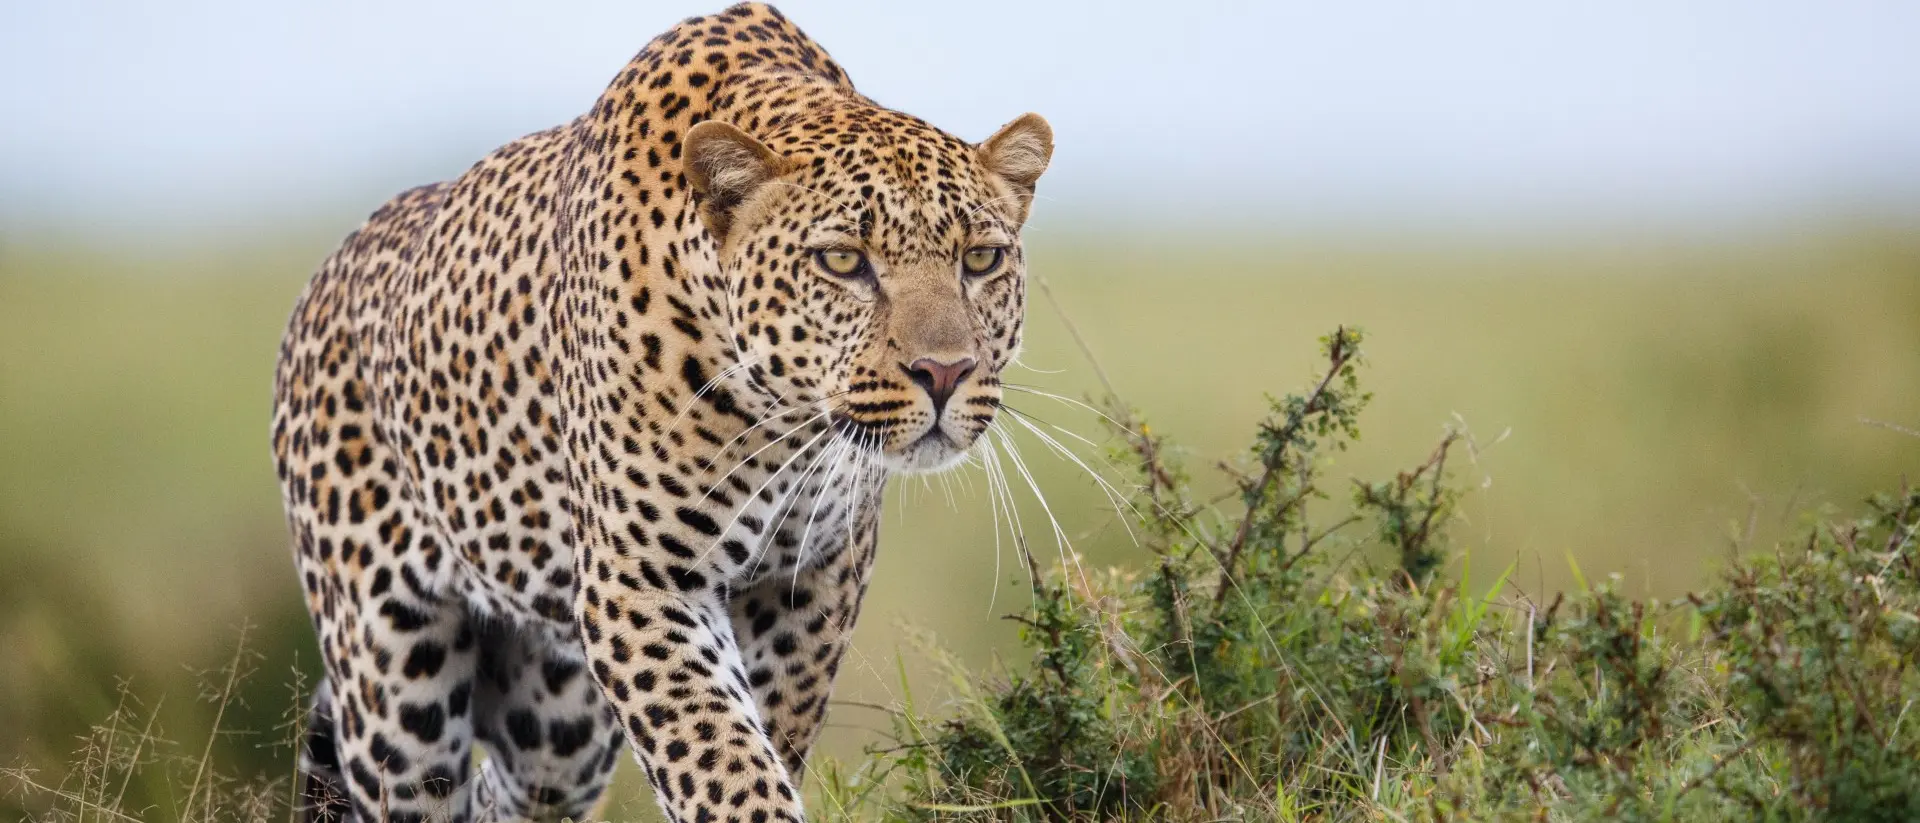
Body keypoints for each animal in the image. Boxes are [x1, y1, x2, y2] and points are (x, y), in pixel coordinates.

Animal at [269, 3, 1052, 822]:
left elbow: (765, 735)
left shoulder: (813, 580)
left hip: (557, 722)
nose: (946, 372)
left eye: (981, 260)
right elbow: (721, 756)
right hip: (394, 685)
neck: (784, 424)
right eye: (843, 261)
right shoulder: (641, 582)